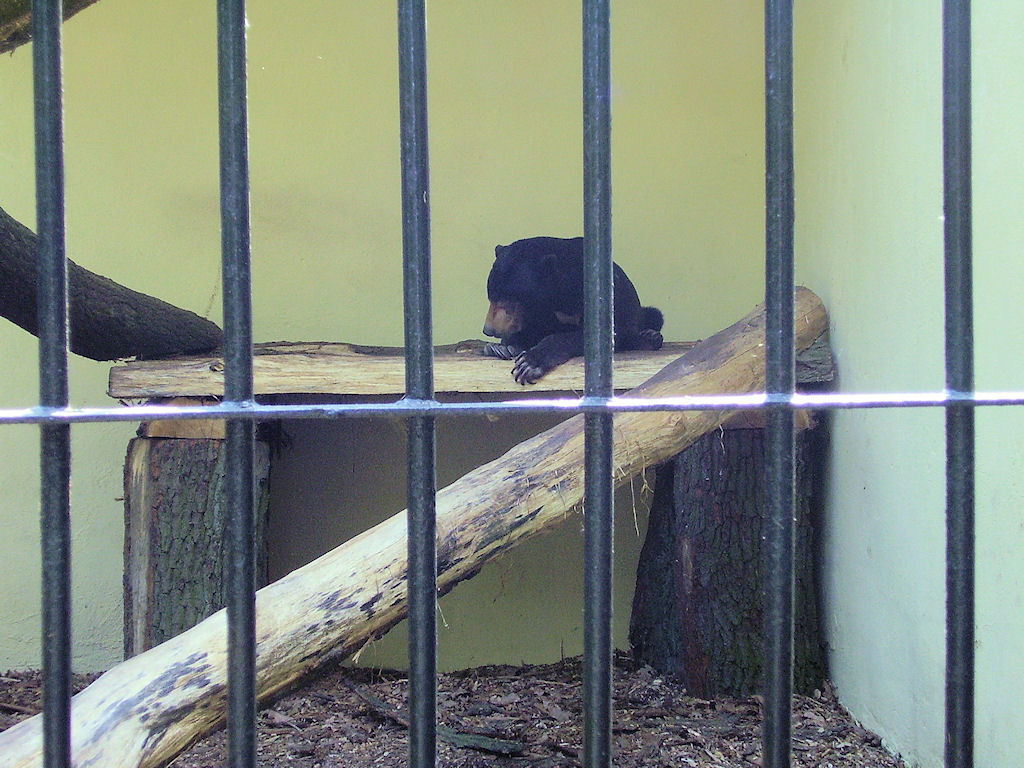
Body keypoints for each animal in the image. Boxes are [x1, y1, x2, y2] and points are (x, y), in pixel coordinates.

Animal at [482, 236, 664, 384]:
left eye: (510, 300)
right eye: (491, 297)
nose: (488, 329)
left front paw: (529, 363)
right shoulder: (539, 311)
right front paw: (504, 346)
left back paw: (650, 337)